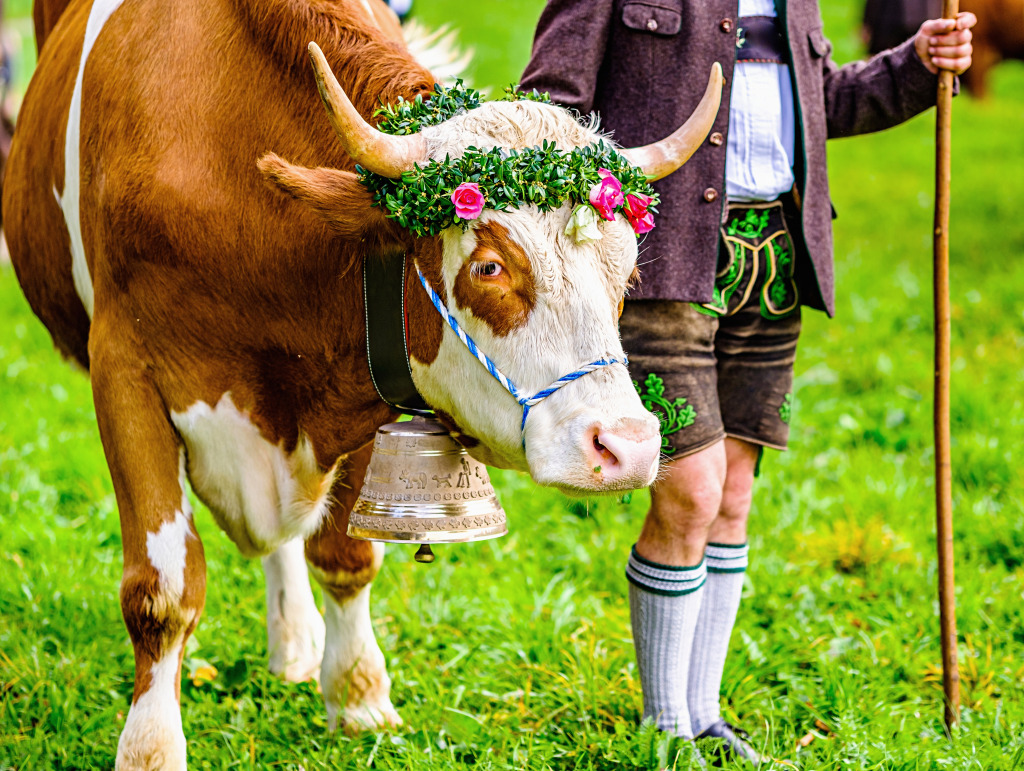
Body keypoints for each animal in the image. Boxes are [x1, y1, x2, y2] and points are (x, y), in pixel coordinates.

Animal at [2, 3, 720, 765]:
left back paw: (295, 640)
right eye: (489, 266)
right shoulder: (124, 370)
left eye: (630, 272)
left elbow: (345, 552)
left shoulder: (371, 382)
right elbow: (162, 589)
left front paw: (357, 695)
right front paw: (151, 747)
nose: (630, 445)